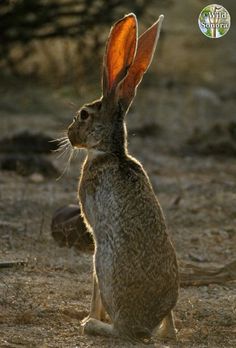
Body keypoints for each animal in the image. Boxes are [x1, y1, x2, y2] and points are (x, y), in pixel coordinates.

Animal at [67, 12, 179, 342]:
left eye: (84, 115)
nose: (69, 133)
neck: (111, 151)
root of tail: (144, 324)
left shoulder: (95, 236)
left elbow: (93, 288)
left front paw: (89, 316)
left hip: (103, 259)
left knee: (120, 330)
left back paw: (93, 325)